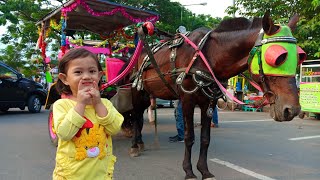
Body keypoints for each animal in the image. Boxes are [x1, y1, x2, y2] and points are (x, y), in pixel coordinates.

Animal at [124, 11, 302, 180]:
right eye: (277, 59)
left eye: (299, 57)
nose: (292, 110)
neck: (207, 57)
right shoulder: (187, 100)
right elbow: (189, 137)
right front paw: (188, 171)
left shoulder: (209, 102)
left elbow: (205, 139)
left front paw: (204, 170)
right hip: (136, 90)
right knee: (136, 116)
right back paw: (134, 146)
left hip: (148, 94)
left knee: (139, 116)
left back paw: (139, 142)